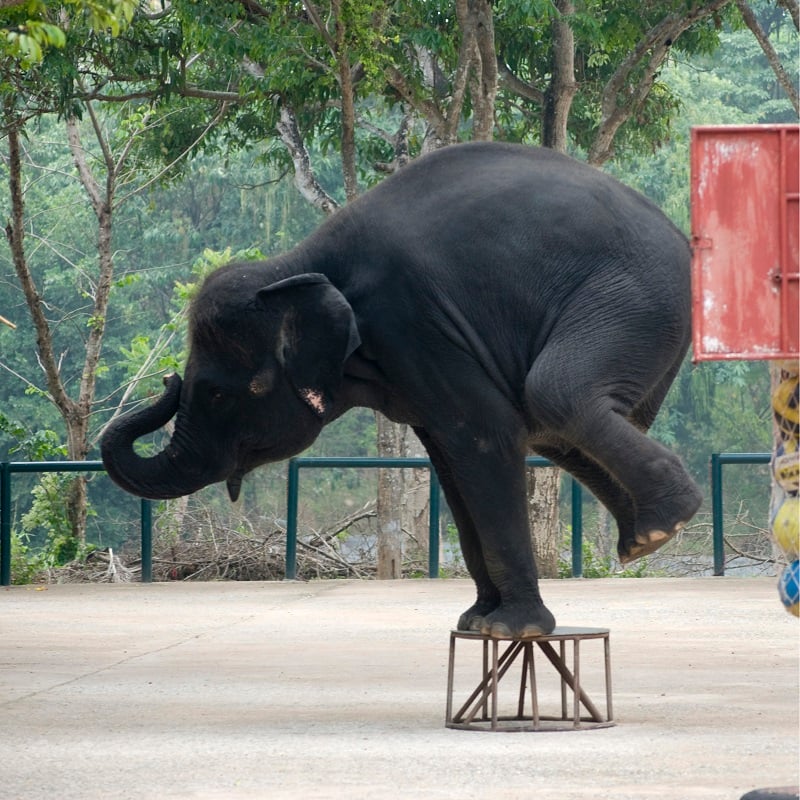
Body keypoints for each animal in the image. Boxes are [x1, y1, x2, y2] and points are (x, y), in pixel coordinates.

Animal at [101, 141, 700, 640]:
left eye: (217, 394)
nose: (166, 378)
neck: (297, 266)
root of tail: (681, 238)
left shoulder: (416, 321)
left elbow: (485, 437)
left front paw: (511, 629)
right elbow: (452, 460)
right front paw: (475, 620)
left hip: (632, 299)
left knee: (553, 393)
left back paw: (664, 525)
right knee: (554, 426)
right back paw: (643, 537)